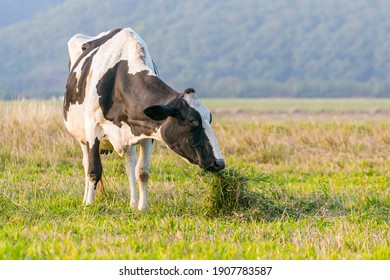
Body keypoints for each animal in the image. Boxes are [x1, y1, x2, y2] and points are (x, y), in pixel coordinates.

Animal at [62, 27, 224, 210]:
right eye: (192, 121)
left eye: (209, 119)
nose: (219, 163)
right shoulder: (92, 128)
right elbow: (93, 170)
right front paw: (89, 205)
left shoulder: (147, 131)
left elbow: (142, 172)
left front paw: (143, 207)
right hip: (81, 135)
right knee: (85, 162)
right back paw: (85, 199)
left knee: (129, 164)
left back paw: (132, 203)